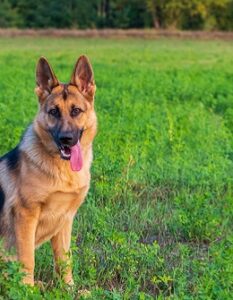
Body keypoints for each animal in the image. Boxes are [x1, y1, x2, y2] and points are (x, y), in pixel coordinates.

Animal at [0, 55, 96, 284]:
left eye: (76, 111)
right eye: (53, 112)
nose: (66, 139)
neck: (62, 170)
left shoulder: (65, 219)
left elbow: (64, 260)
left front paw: (69, 288)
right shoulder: (25, 217)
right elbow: (28, 261)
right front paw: (27, 289)